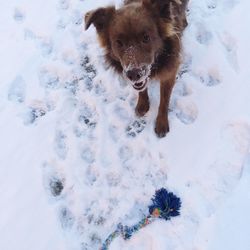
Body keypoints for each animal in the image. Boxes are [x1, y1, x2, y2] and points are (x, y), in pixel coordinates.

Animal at [85, 0, 188, 137]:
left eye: (146, 37)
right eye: (118, 42)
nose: (133, 74)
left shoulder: (169, 73)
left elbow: (164, 101)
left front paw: (161, 123)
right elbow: (142, 90)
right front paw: (143, 105)